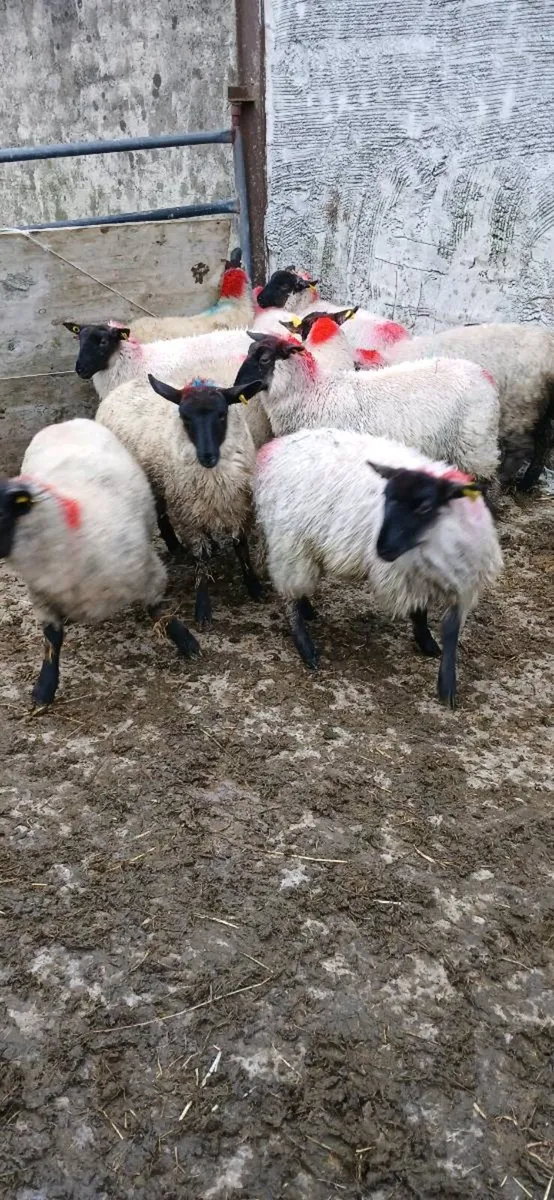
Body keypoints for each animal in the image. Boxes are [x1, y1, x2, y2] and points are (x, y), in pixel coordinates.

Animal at [0, 418, 200, 706]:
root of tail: (66, 421)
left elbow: (158, 611)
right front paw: (45, 688)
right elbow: (52, 640)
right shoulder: (42, 596)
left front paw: (187, 642)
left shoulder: (146, 571)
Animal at [96, 375, 264, 627]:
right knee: (159, 513)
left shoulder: (237, 506)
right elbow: (201, 559)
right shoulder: (188, 514)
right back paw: (174, 545)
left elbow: (241, 547)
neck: (213, 478)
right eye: (185, 417)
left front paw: (254, 587)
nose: (207, 457)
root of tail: (124, 385)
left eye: (222, 414)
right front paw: (202, 608)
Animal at [254, 427, 503, 707]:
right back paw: (306, 647)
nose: (381, 549)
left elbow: (451, 631)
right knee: (288, 595)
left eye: (425, 506)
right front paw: (426, 642)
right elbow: (419, 612)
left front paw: (445, 681)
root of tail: (275, 448)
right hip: (289, 543)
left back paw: (307, 609)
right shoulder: (406, 575)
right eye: (385, 498)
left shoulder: (464, 582)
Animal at [383, 323, 554, 490]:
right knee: (543, 441)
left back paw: (508, 476)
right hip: (539, 406)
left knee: (522, 446)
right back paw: (528, 480)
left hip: (519, 405)